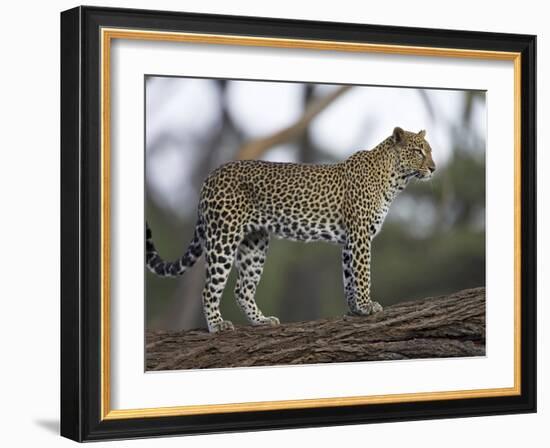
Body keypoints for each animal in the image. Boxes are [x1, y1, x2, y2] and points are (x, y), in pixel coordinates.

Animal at [146, 126, 436, 332]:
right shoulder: (360, 235)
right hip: (223, 236)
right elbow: (363, 273)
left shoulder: (349, 240)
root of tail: (211, 175)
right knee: (209, 288)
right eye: (418, 151)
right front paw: (367, 306)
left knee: (242, 289)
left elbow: (349, 277)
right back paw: (217, 325)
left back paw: (261, 321)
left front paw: (355, 309)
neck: (395, 179)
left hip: (255, 243)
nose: (434, 168)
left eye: (430, 150)